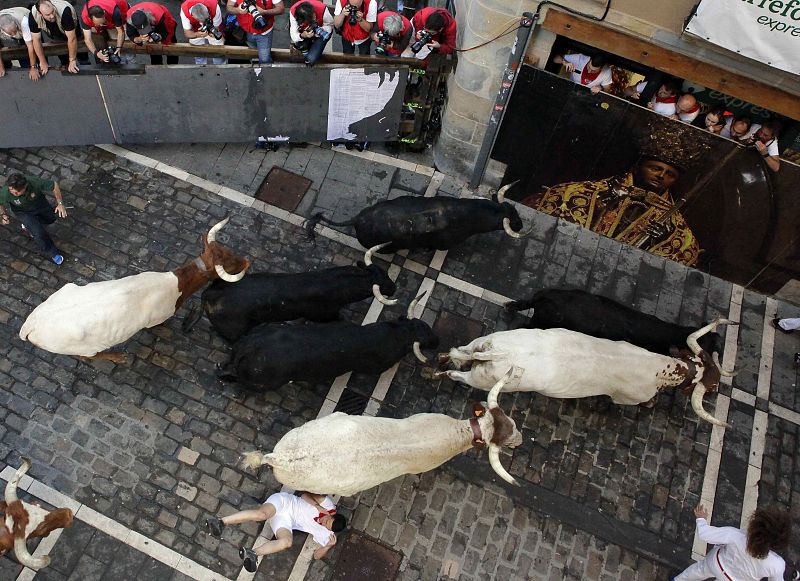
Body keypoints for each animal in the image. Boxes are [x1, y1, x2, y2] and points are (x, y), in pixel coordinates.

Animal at [181, 266, 394, 342]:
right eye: (382, 282)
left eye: (385, 272)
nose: (395, 287)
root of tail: (210, 293)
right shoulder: (326, 316)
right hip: (236, 331)